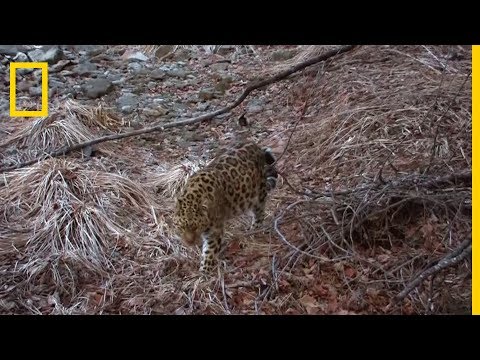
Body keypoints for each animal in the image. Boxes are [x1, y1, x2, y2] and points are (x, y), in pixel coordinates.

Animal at [172, 141, 278, 272]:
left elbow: (209, 252)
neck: (193, 194)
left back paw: (254, 230)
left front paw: (204, 272)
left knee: (260, 212)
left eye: (196, 227)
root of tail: (255, 145)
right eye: (181, 227)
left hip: (258, 195)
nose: (189, 242)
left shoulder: (214, 232)